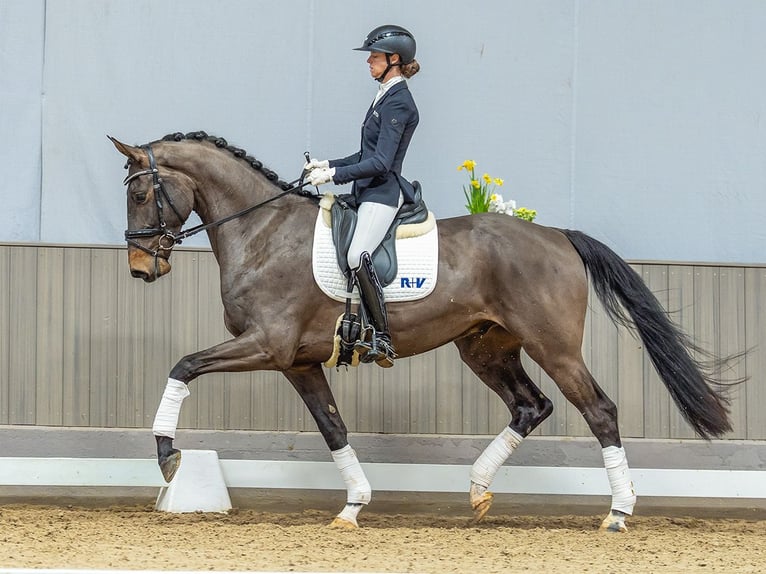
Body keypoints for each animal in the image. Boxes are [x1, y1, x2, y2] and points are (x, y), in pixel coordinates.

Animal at [110, 131, 735, 532]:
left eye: (140, 193)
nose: (140, 270)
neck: (263, 231)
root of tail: (558, 235)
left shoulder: (267, 345)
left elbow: (183, 365)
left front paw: (167, 456)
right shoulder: (299, 361)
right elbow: (333, 427)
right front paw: (353, 506)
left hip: (553, 346)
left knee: (598, 409)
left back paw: (619, 512)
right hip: (484, 347)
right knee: (531, 406)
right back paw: (478, 491)